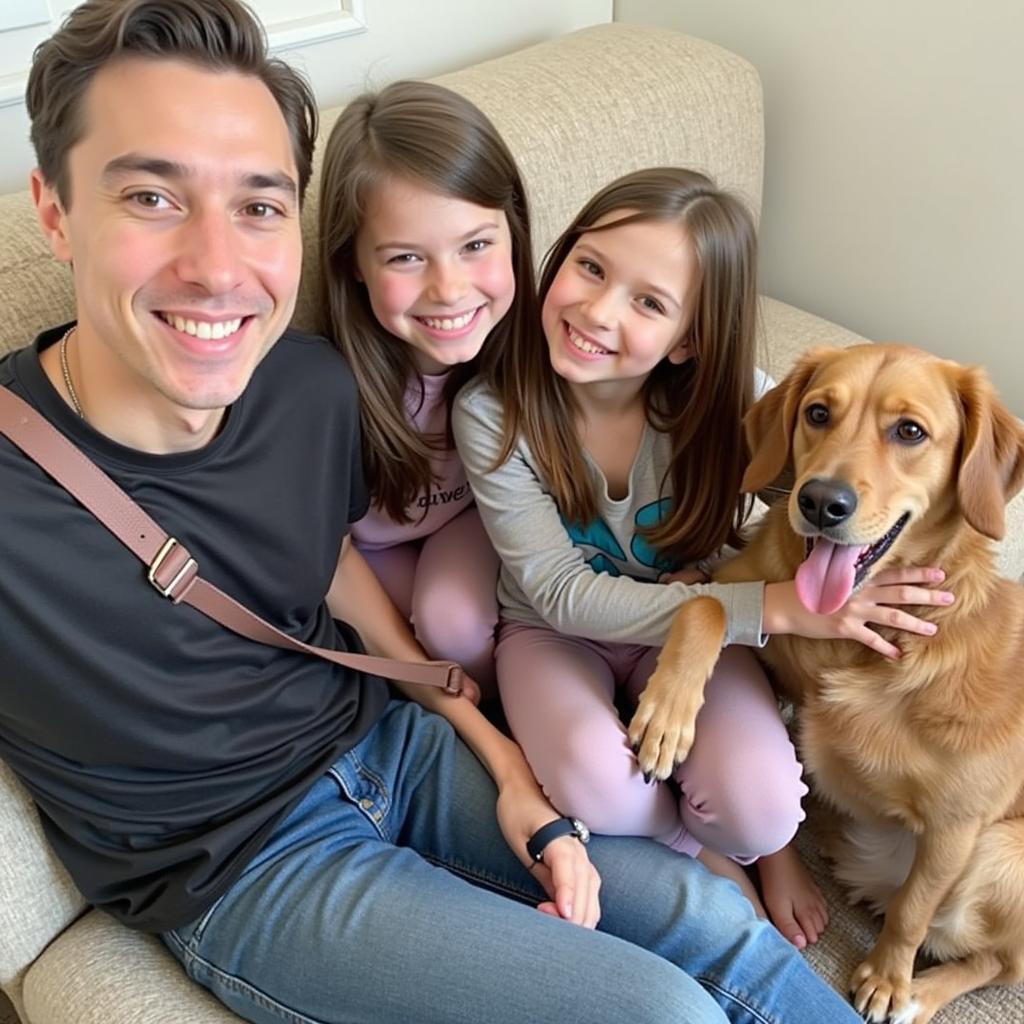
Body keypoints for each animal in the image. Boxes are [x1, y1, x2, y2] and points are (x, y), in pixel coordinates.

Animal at [626, 346, 1024, 1024]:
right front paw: (666, 715)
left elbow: (913, 913)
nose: (819, 502)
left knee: (993, 957)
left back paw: (919, 992)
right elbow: (704, 604)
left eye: (909, 431)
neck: (847, 639)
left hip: (1002, 856)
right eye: (817, 413)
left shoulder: (959, 821)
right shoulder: (746, 609)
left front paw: (889, 979)